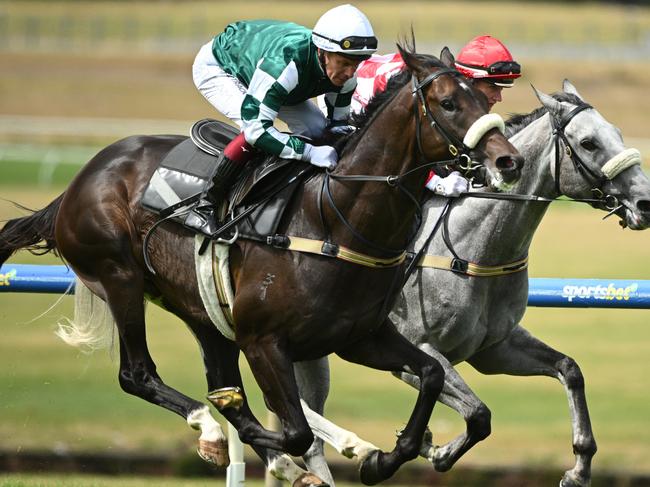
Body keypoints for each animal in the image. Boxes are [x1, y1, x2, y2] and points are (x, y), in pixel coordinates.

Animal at [0, 43, 520, 486]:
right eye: (449, 103)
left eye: (484, 97)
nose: (507, 160)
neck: (334, 219)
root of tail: (79, 181)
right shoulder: (264, 340)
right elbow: (295, 428)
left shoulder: (360, 337)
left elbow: (430, 375)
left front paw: (382, 459)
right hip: (120, 278)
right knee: (139, 375)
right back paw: (215, 431)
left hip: (203, 312)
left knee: (215, 378)